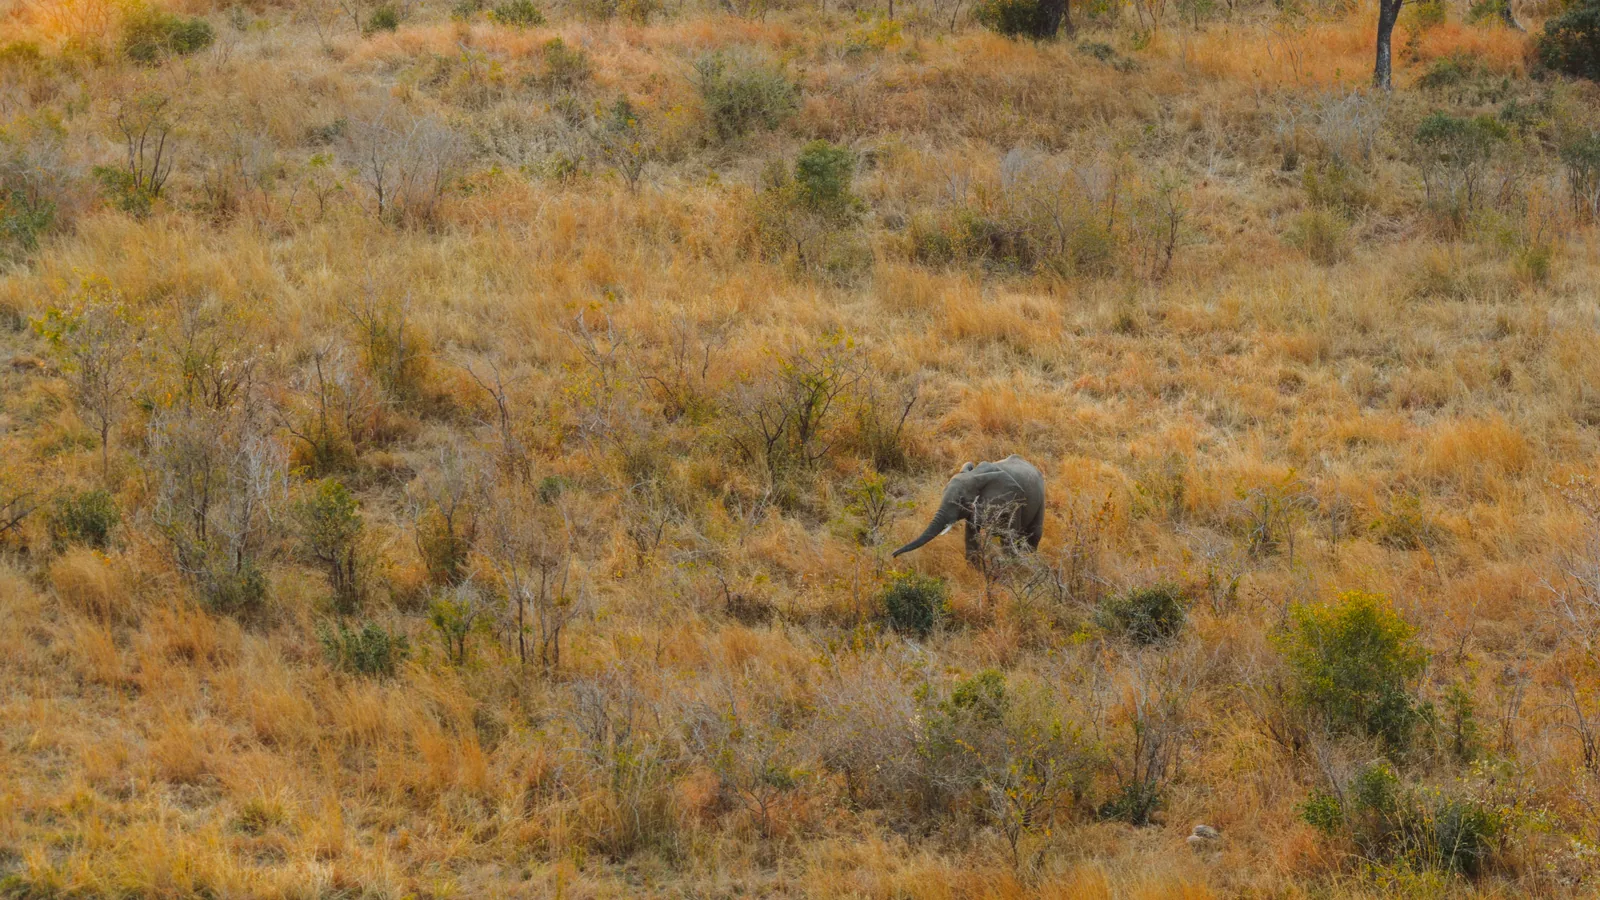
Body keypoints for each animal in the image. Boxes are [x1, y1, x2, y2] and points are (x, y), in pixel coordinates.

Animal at [892, 455, 1045, 565]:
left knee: (1032, 536)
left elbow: (1009, 538)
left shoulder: (1013, 502)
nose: (893, 555)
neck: (975, 474)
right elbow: (971, 538)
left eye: (961, 500)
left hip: (1041, 499)